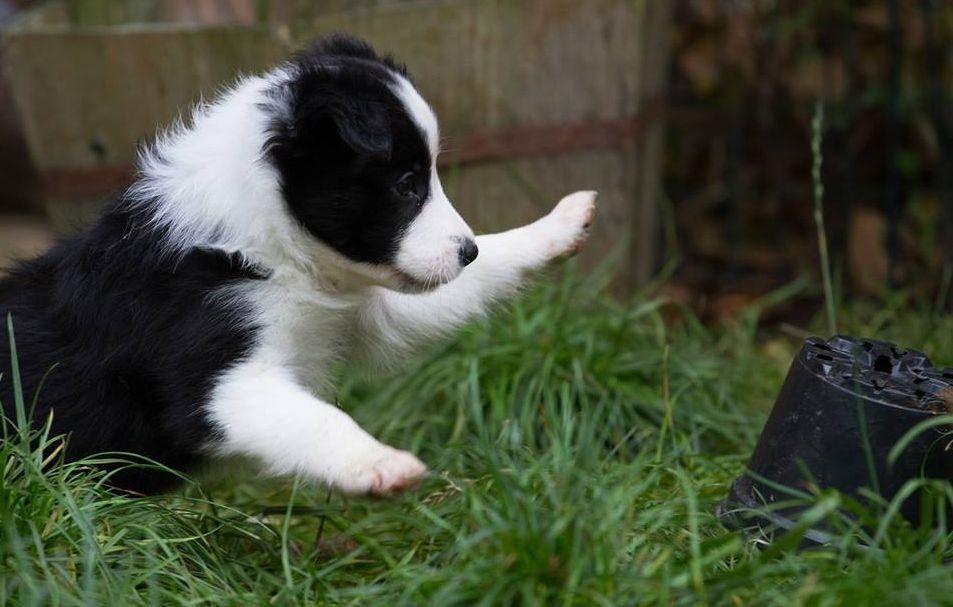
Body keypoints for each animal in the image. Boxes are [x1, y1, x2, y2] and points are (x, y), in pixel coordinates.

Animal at [0, 33, 596, 496]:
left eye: (426, 178)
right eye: (406, 185)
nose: (465, 251)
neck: (261, 241)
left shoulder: (362, 314)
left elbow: (461, 286)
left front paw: (559, 223)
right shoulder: (219, 373)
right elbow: (318, 418)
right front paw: (381, 465)